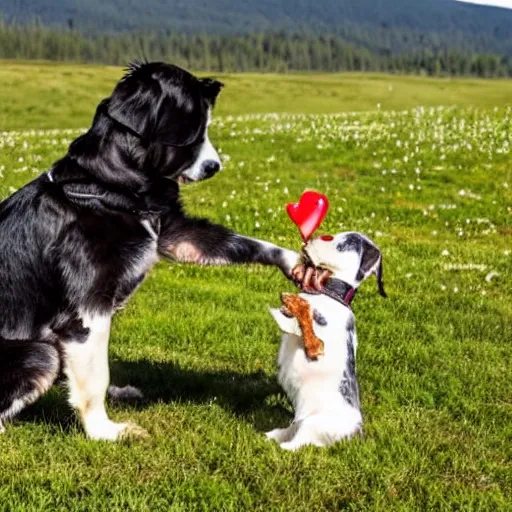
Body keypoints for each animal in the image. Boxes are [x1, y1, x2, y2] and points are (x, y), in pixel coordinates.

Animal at [0, 61, 300, 440]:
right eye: (196, 129)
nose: (215, 166)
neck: (107, 188)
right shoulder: (86, 310)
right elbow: (95, 378)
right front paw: (105, 432)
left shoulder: (173, 232)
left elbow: (242, 242)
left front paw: (300, 262)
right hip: (39, 352)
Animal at [268, 234, 384, 450]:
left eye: (343, 244)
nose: (311, 238)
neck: (329, 294)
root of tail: (356, 433)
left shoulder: (321, 338)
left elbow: (307, 324)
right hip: (301, 420)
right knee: (292, 429)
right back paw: (273, 435)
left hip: (312, 423)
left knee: (299, 442)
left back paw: (282, 446)